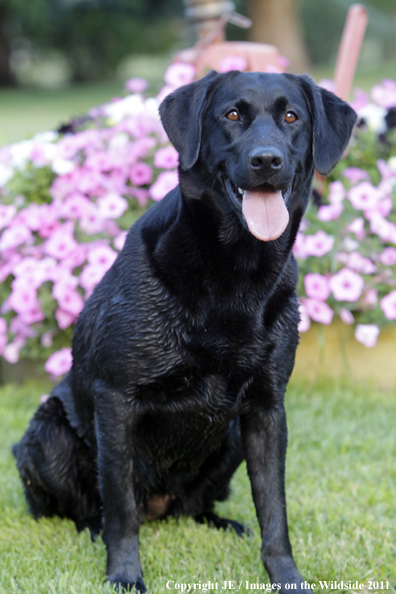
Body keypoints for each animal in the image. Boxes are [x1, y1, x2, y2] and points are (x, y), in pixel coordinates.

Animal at [13, 71, 358, 588]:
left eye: (291, 116)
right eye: (231, 114)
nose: (267, 160)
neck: (234, 275)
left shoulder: (267, 408)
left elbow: (273, 507)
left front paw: (286, 577)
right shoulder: (116, 399)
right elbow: (119, 506)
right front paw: (124, 577)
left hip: (229, 435)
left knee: (194, 508)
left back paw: (222, 523)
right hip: (47, 434)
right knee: (85, 509)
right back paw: (92, 531)